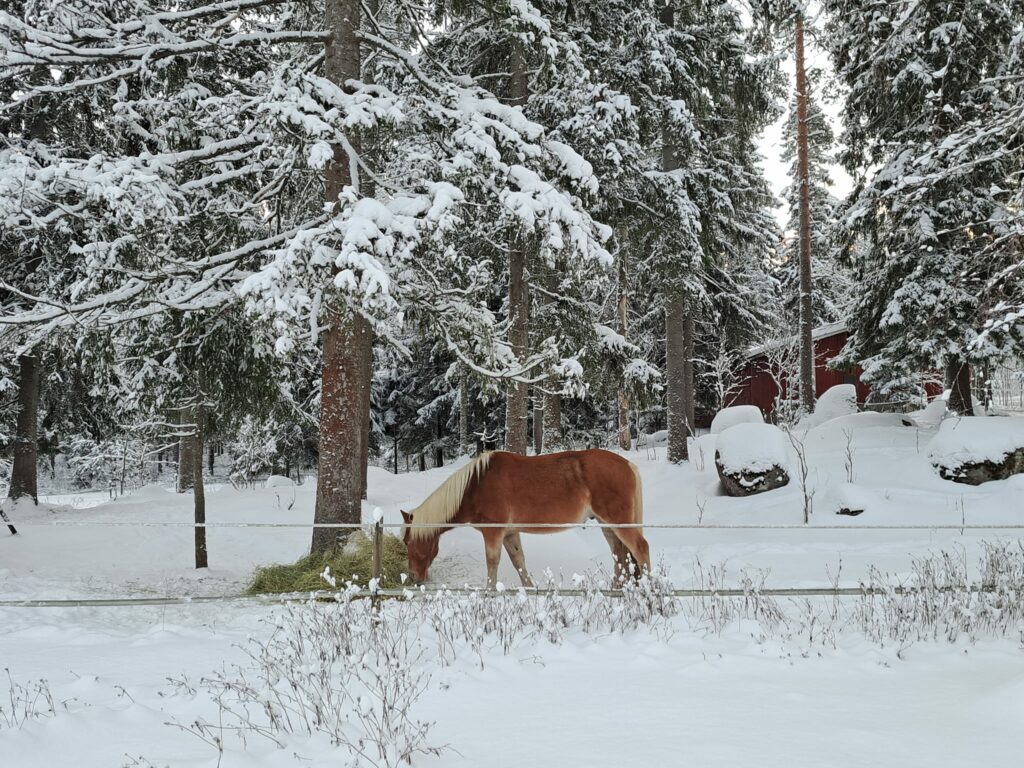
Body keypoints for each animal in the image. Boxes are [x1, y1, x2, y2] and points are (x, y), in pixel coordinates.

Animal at [399, 450, 647, 589]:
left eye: (408, 542)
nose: (413, 577)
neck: (475, 486)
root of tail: (628, 465)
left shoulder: (493, 533)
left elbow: (493, 563)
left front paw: (489, 592)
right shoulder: (510, 533)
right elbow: (518, 562)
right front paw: (530, 590)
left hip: (619, 523)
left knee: (640, 549)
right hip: (608, 525)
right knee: (620, 556)